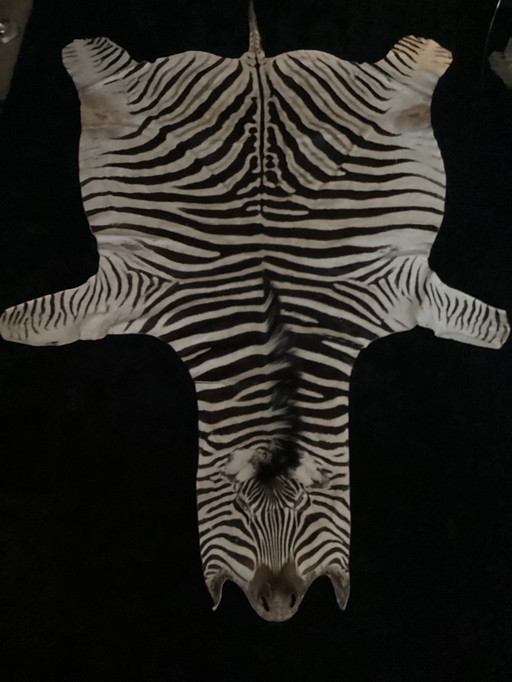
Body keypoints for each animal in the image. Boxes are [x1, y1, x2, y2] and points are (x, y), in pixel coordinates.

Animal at [0, 5, 509, 622]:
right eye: (240, 512)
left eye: (307, 509)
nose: (279, 608)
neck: (272, 364)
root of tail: (257, 65)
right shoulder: (135, 290)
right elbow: (49, 322)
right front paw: (9, 324)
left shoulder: (393, 288)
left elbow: (476, 322)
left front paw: (503, 330)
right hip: (127, 92)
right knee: (94, 62)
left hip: (381, 98)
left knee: (415, 65)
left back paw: (436, 54)